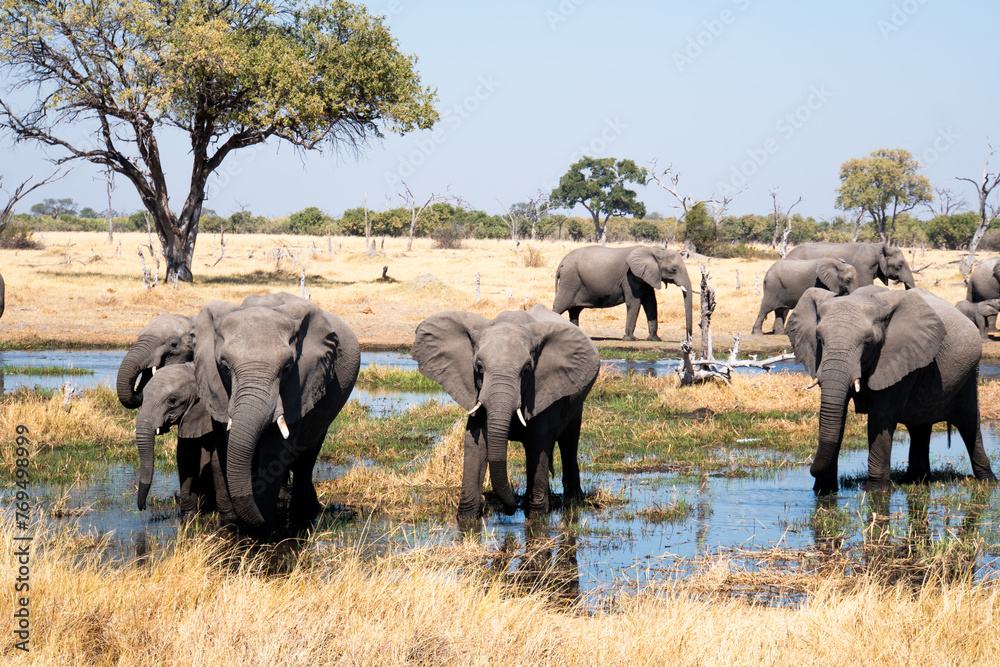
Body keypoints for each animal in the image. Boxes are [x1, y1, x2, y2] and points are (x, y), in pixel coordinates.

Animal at [134, 363, 233, 521]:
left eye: (172, 400)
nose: (142, 507)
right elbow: (185, 457)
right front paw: (187, 519)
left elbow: (218, 460)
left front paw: (228, 519)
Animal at [194, 292, 360, 534]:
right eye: (224, 367)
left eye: (287, 368)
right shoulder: (218, 388)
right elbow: (228, 445)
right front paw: (238, 525)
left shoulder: (301, 385)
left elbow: (274, 451)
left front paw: (260, 530)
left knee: (307, 454)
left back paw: (303, 514)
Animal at [411, 304, 600, 521]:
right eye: (479, 367)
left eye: (526, 370)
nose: (511, 509)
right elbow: (477, 442)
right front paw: (467, 519)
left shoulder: (545, 385)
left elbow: (538, 441)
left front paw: (537, 518)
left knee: (569, 442)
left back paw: (572, 501)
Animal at [552, 245, 692, 341]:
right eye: (674, 269)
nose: (687, 341)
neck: (654, 250)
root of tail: (560, 264)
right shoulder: (629, 276)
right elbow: (634, 302)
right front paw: (631, 339)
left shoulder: (647, 277)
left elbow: (651, 303)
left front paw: (655, 339)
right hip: (570, 280)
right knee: (559, 306)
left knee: (575, 311)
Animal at [786, 285, 996, 495]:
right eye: (819, 339)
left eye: (868, 342)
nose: (810, 469)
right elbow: (836, 415)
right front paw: (823, 491)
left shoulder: (900, 356)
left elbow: (880, 416)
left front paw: (875, 490)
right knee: (919, 427)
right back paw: (916, 480)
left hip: (970, 371)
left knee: (969, 422)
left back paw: (988, 481)